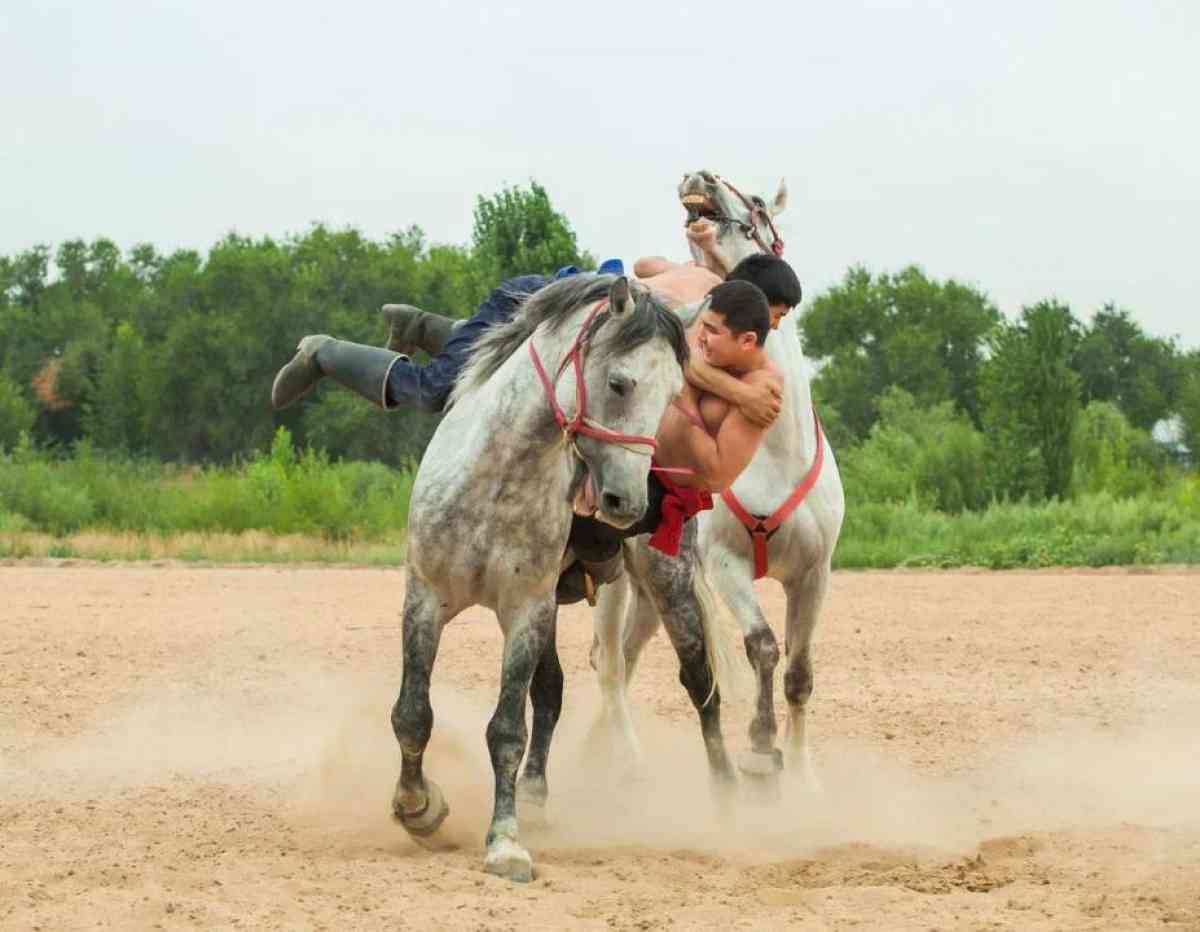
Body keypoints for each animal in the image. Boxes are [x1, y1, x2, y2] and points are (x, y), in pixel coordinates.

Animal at [393, 271, 691, 878]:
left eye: (674, 396)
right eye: (619, 383)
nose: (628, 501)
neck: (497, 476)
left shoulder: (527, 611)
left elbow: (509, 728)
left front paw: (505, 841)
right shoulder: (425, 600)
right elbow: (412, 713)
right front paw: (418, 808)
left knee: (560, 693)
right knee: (550, 689)